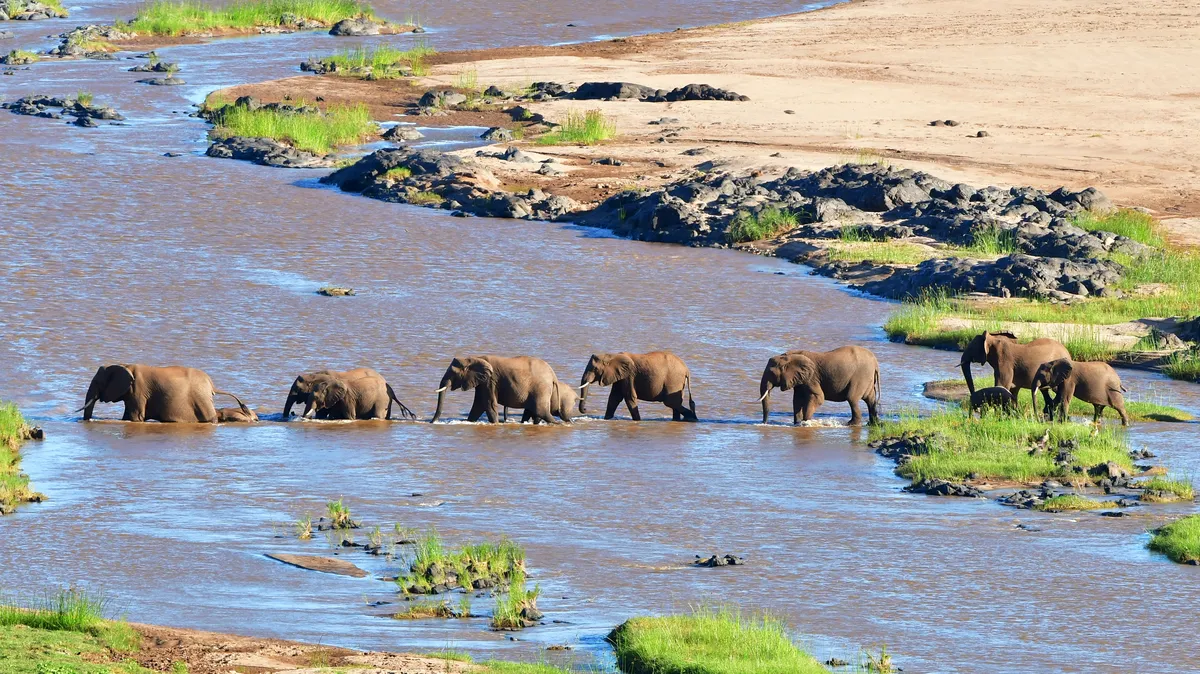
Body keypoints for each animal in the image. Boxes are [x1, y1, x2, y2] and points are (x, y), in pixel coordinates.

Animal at [80, 364, 250, 423]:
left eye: (98, 383)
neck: (125, 365)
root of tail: (211, 384)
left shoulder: (138, 391)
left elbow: (135, 418)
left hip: (202, 399)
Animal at [431, 356, 559, 424]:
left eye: (453, 373)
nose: (432, 423)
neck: (474, 358)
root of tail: (553, 375)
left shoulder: (490, 381)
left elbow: (489, 404)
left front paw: (496, 424)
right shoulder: (482, 382)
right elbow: (478, 406)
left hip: (541, 388)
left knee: (540, 411)